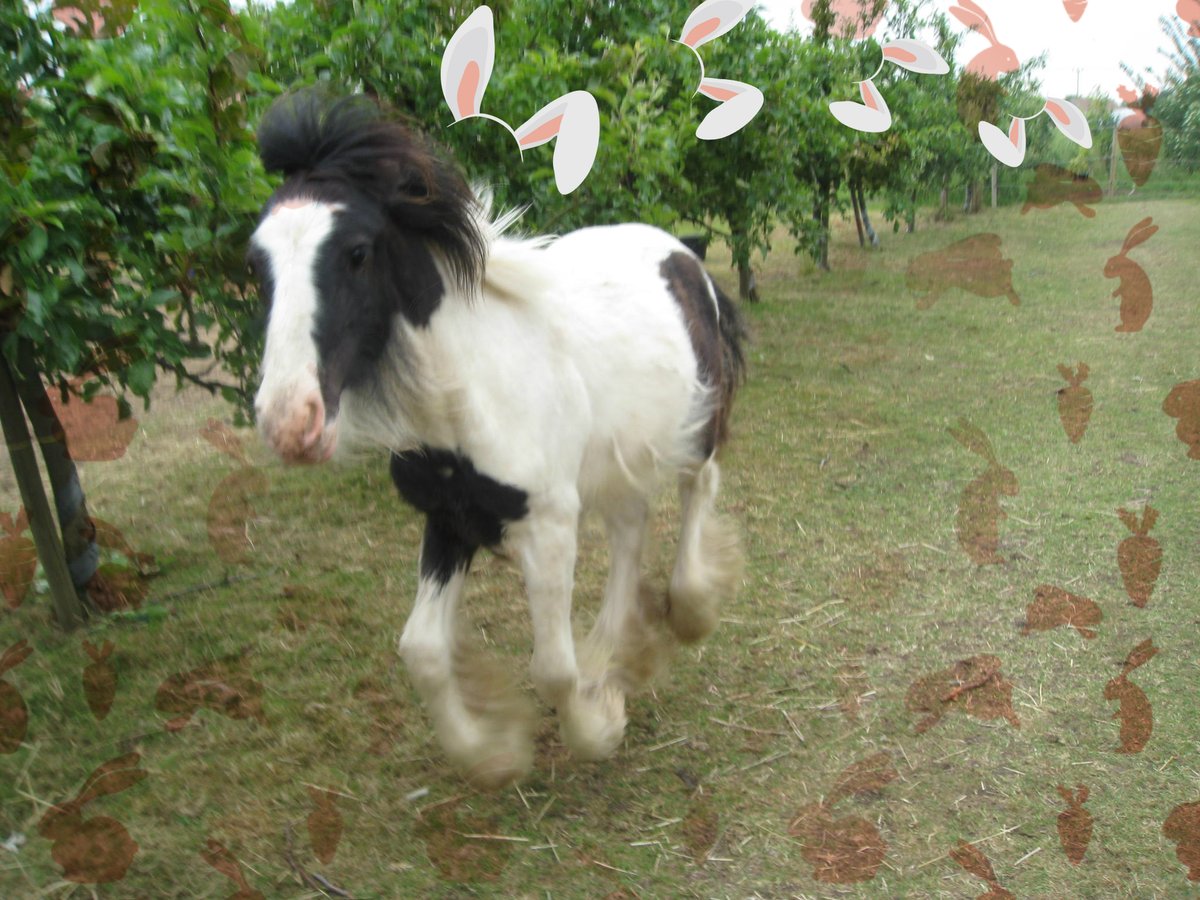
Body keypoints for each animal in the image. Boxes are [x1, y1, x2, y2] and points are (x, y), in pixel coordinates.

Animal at [949, 421, 1019, 565]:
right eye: (1009, 476)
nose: (1017, 489)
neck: (990, 481)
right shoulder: (991, 502)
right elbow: (998, 510)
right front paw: (1005, 516)